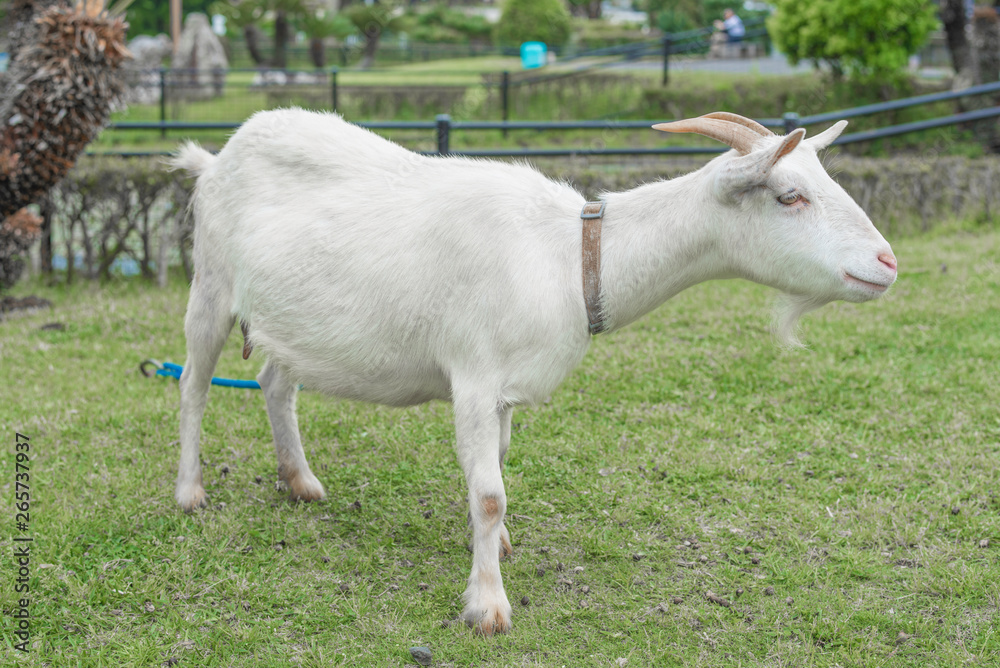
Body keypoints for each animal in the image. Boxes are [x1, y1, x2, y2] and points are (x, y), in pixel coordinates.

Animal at [171, 109, 896, 635]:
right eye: (790, 195)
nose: (888, 262)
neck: (568, 256)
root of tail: (219, 156)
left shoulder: (504, 394)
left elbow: (496, 469)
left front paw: (499, 548)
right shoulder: (473, 376)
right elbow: (490, 491)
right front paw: (487, 608)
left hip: (292, 321)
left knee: (274, 382)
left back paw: (300, 480)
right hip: (209, 283)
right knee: (193, 385)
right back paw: (189, 492)